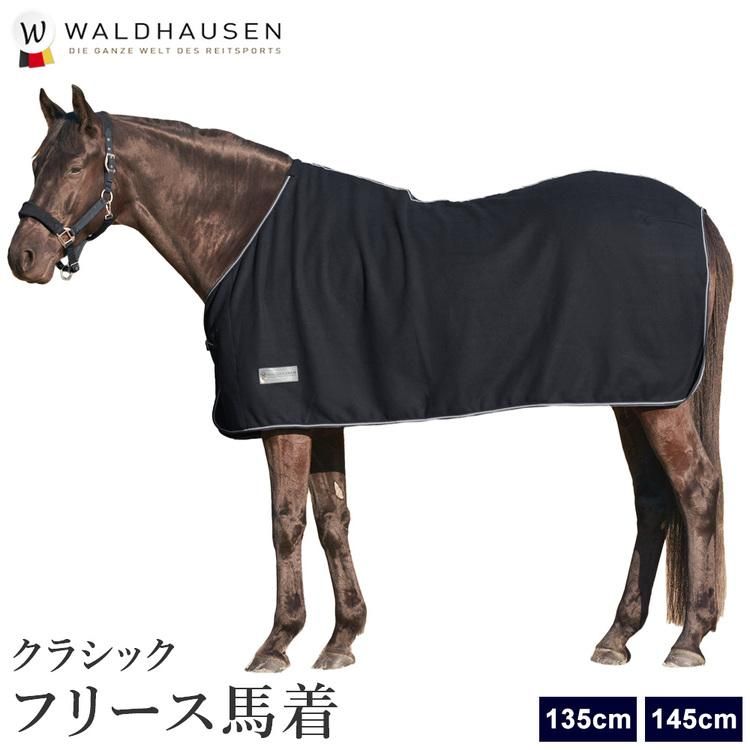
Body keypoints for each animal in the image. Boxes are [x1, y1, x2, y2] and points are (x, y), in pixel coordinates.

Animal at [8, 86, 732, 671]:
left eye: (75, 165)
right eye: (36, 163)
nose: (25, 257)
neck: (250, 237)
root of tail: (696, 216)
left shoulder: (285, 418)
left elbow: (286, 523)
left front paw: (277, 644)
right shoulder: (320, 411)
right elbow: (333, 518)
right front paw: (341, 640)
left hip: (659, 404)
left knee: (695, 490)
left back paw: (688, 640)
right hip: (635, 398)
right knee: (653, 500)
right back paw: (618, 638)